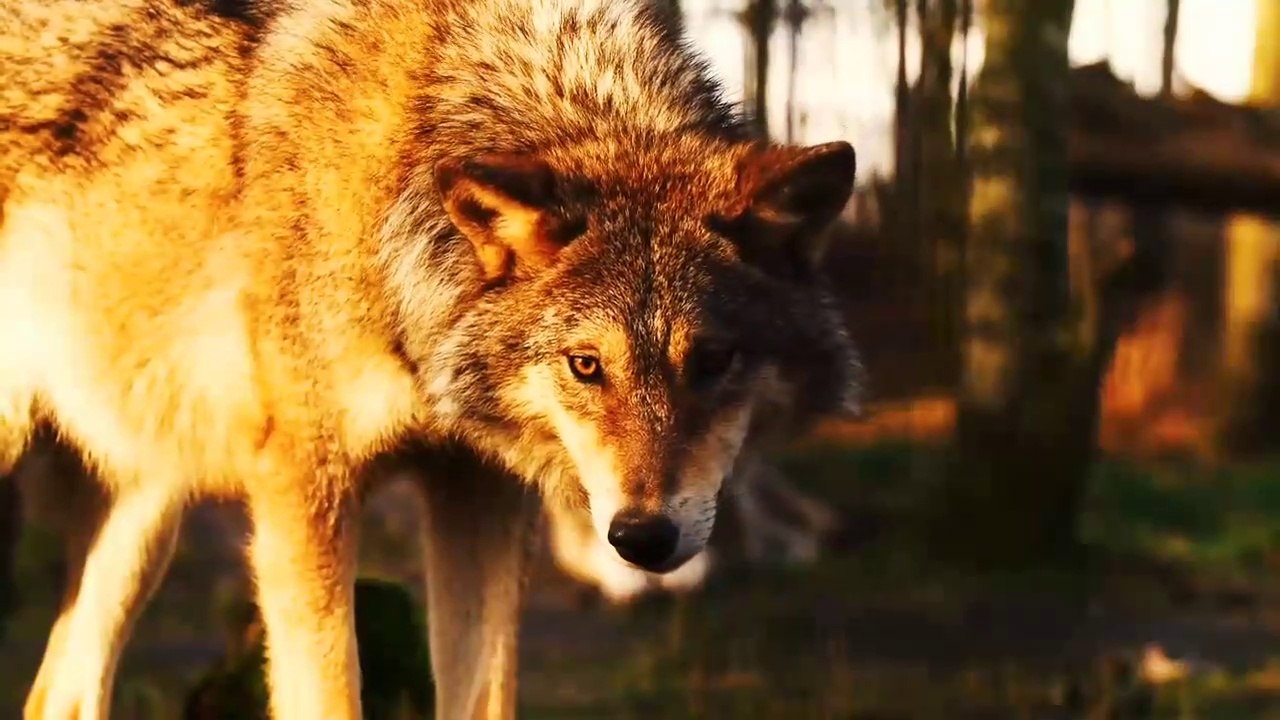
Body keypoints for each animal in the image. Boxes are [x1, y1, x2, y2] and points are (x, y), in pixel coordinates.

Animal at [0, 0, 862, 717]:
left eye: (713, 359)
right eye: (585, 365)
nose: (644, 539)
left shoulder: (478, 491)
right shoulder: (304, 492)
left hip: (146, 516)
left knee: (56, 696)